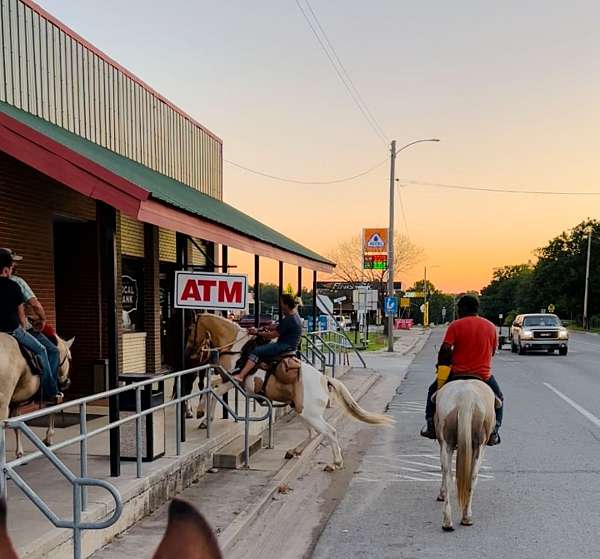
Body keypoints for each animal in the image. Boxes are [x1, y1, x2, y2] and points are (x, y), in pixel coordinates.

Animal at [0, 332, 74, 460]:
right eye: (69, 358)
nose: (66, 382)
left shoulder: (16, 401)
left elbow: (17, 424)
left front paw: (19, 453)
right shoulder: (52, 394)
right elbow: (52, 409)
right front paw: (48, 438)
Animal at [188, 316, 394, 472]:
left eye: (190, 328)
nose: (190, 351)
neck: (237, 349)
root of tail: (324, 380)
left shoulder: (234, 380)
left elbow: (213, 391)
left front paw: (202, 416)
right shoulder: (228, 380)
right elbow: (211, 386)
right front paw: (202, 416)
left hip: (310, 414)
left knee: (329, 432)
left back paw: (335, 463)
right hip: (302, 412)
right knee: (312, 433)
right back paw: (294, 451)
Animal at [434, 378, 500, 532]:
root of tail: (466, 398)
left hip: (448, 442)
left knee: (448, 474)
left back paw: (448, 521)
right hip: (478, 445)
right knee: (472, 476)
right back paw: (466, 517)